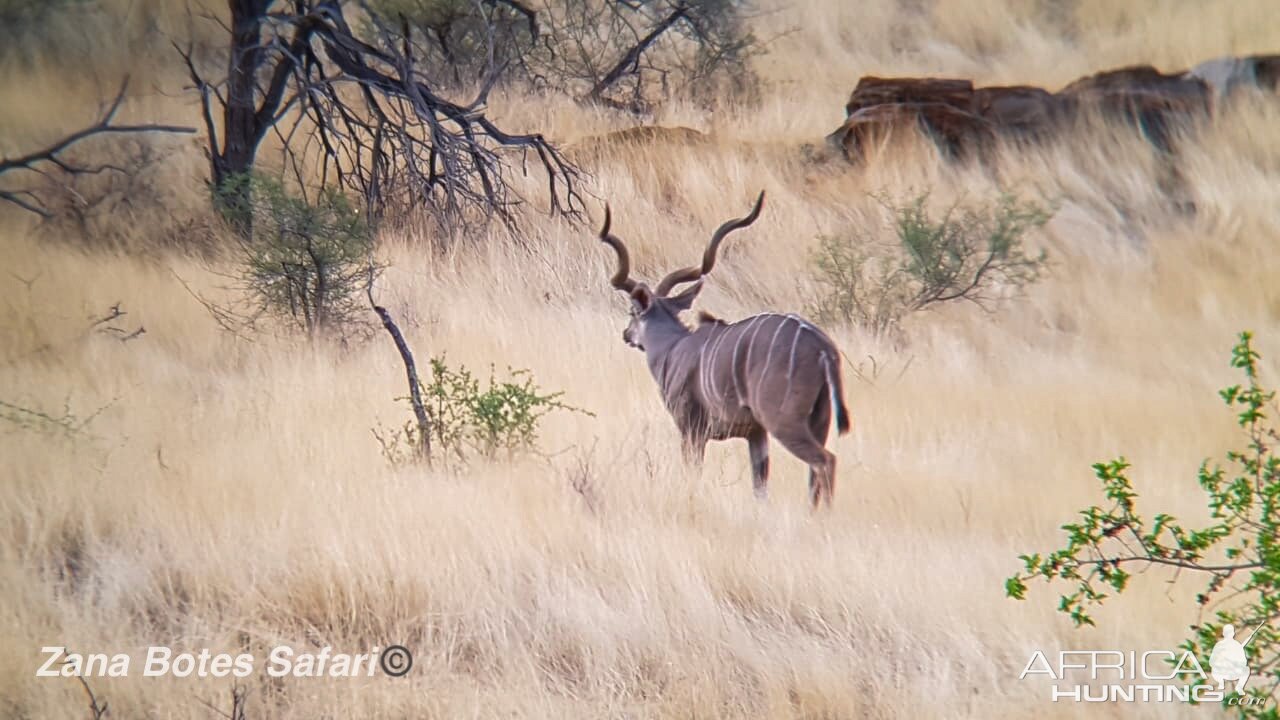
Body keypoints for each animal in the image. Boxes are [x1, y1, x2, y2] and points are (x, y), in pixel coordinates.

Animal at [599, 190, 849, 504]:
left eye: (632, 311)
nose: (626, 334)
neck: (673, 347)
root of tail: (822, 349)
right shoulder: (756, 434)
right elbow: (760, 486)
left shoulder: (691, 429)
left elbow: (693, 474)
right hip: (819, 421)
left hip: (785, 422)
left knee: (825, 461)